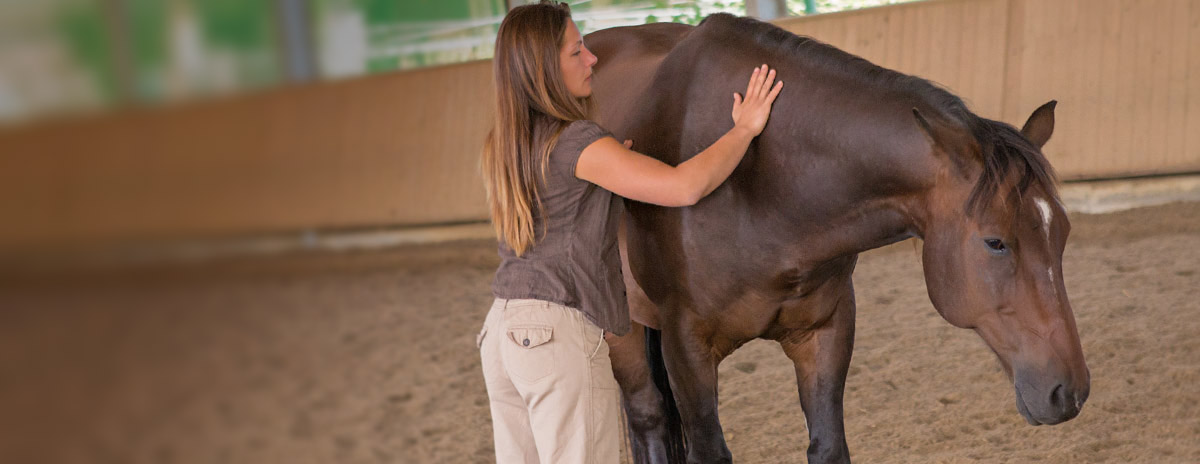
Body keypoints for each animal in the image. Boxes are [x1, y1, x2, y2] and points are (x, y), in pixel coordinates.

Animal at [584, 14, 1090, 464]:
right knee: (648, 418)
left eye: (1062, 232)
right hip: (622, 330)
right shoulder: (686, 346)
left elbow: (827, 446)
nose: (1070, 391)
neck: (763, 182)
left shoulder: (825, 331)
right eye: (995, 242)